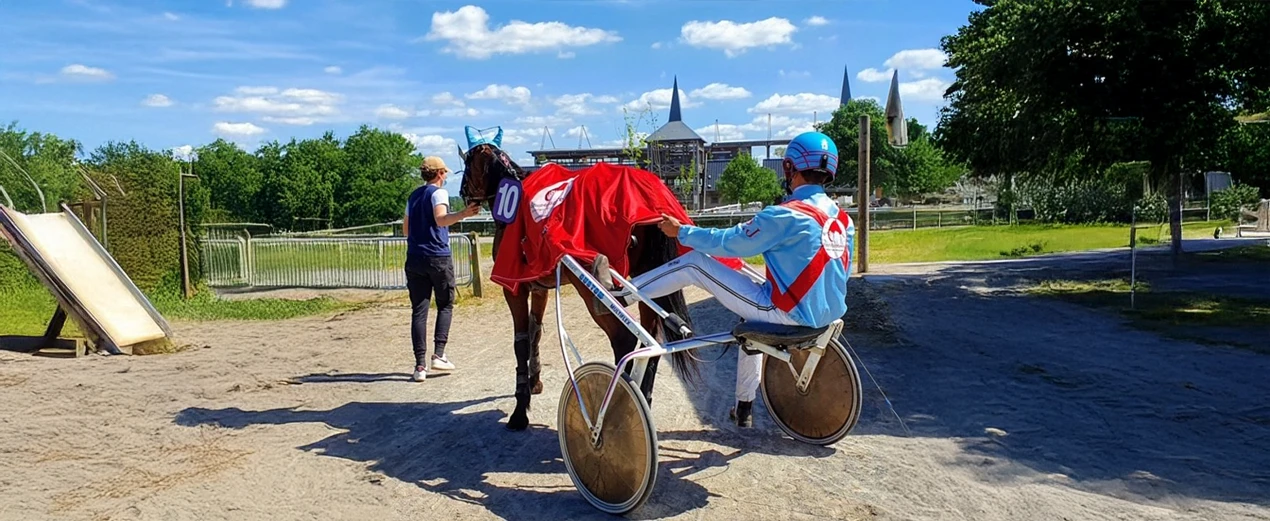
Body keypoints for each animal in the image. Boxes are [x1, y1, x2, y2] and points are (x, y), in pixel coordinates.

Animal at [457, 129, 698, 432]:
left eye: (467, 163)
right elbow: (535, 332)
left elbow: (520, 341)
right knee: (649, 341)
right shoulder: (539, 287)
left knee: (624, 339)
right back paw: (644, 397)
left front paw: (519, 411)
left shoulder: (513, 288)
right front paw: (534, 383)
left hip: (593, 288)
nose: (462, 193)